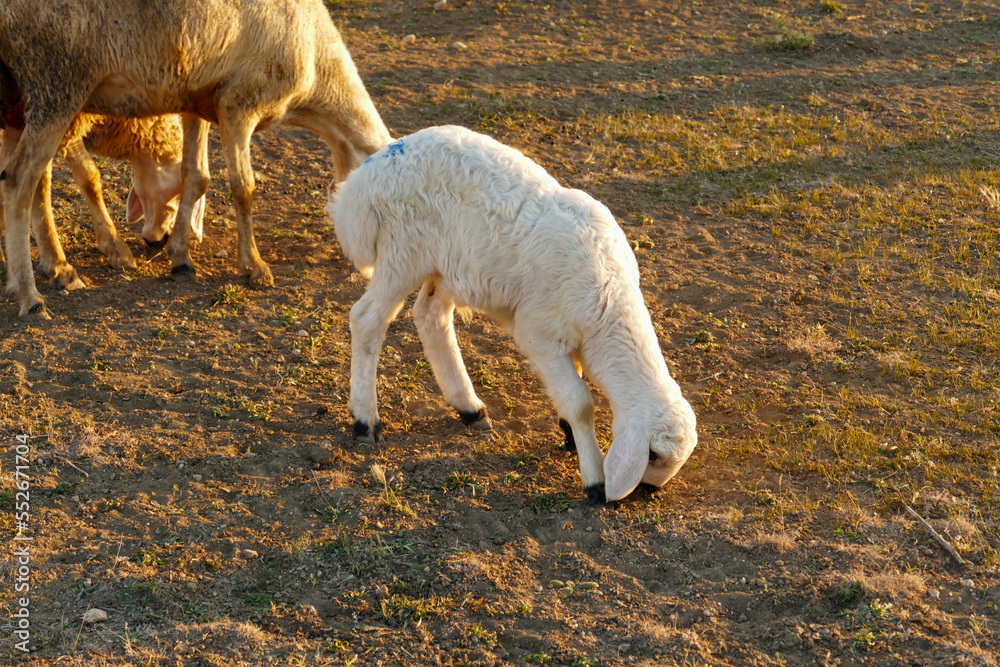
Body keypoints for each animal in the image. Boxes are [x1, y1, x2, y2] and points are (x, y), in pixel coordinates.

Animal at [0, 0, 390, 319]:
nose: (371, 270)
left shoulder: (197, 99)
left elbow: (195, 176)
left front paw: (181, 259)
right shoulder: (239, 103)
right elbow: (244, 187)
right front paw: (254, 266)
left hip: (17, 100)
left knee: (34, 180)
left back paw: (54, 270)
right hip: (57, 83)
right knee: (20, 180)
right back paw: (30, 296)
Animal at [328, 125, 698, 504]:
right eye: (653, 455)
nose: (646, 493)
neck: (607, 313)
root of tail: (365, 179)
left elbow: (574, 384)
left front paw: (569, 434)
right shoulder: (539, 333)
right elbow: (581, 401)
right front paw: (594, 480)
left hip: (447, 267)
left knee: (431, 317)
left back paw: (469, 407)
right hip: (403, 249)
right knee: (367, 319)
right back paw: (366, 420)